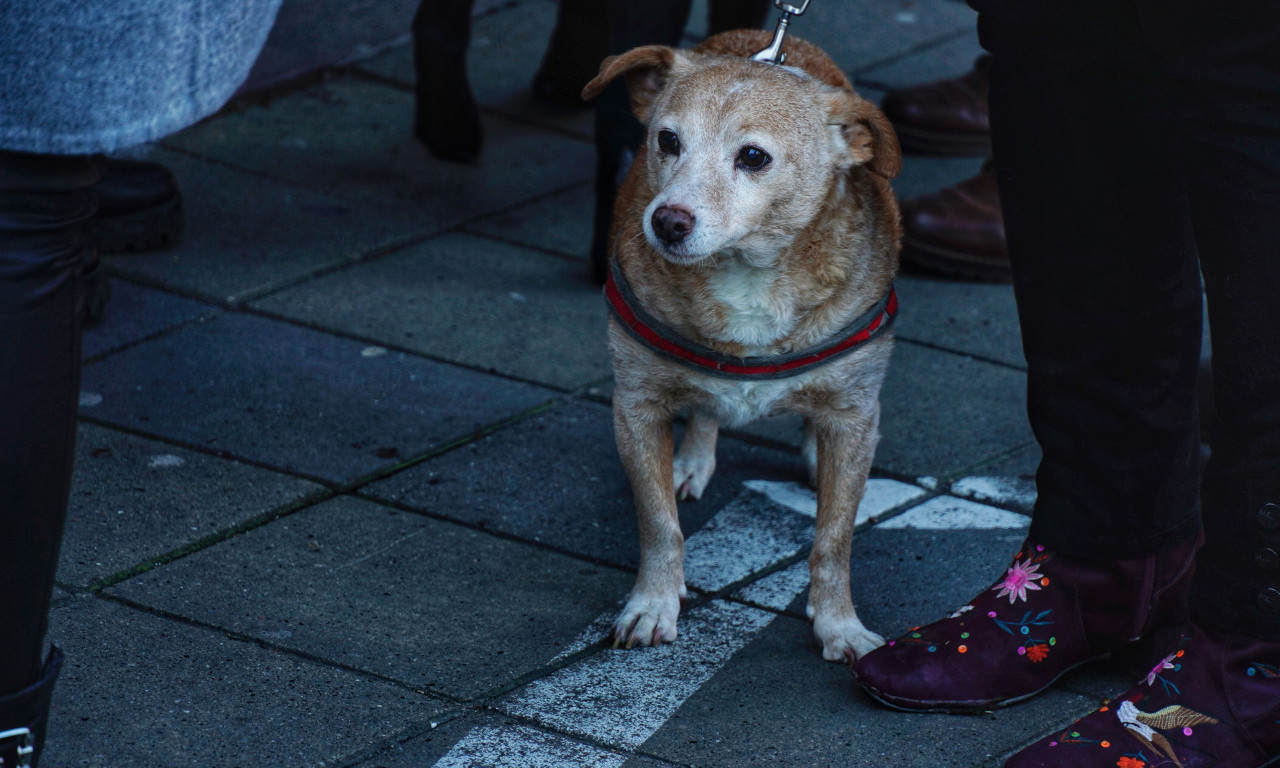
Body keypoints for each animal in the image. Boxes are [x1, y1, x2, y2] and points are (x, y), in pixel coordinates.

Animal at [586, 31, 906, 660]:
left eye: (753, 157)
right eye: (667, 140)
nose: (668, 222)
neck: (746, 273)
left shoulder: (855, 414)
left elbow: (834, 540)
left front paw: (839, 625)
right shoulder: (635, 406)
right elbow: (659, 524)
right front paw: (652, 605)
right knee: (706, 409)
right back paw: (691, 460)